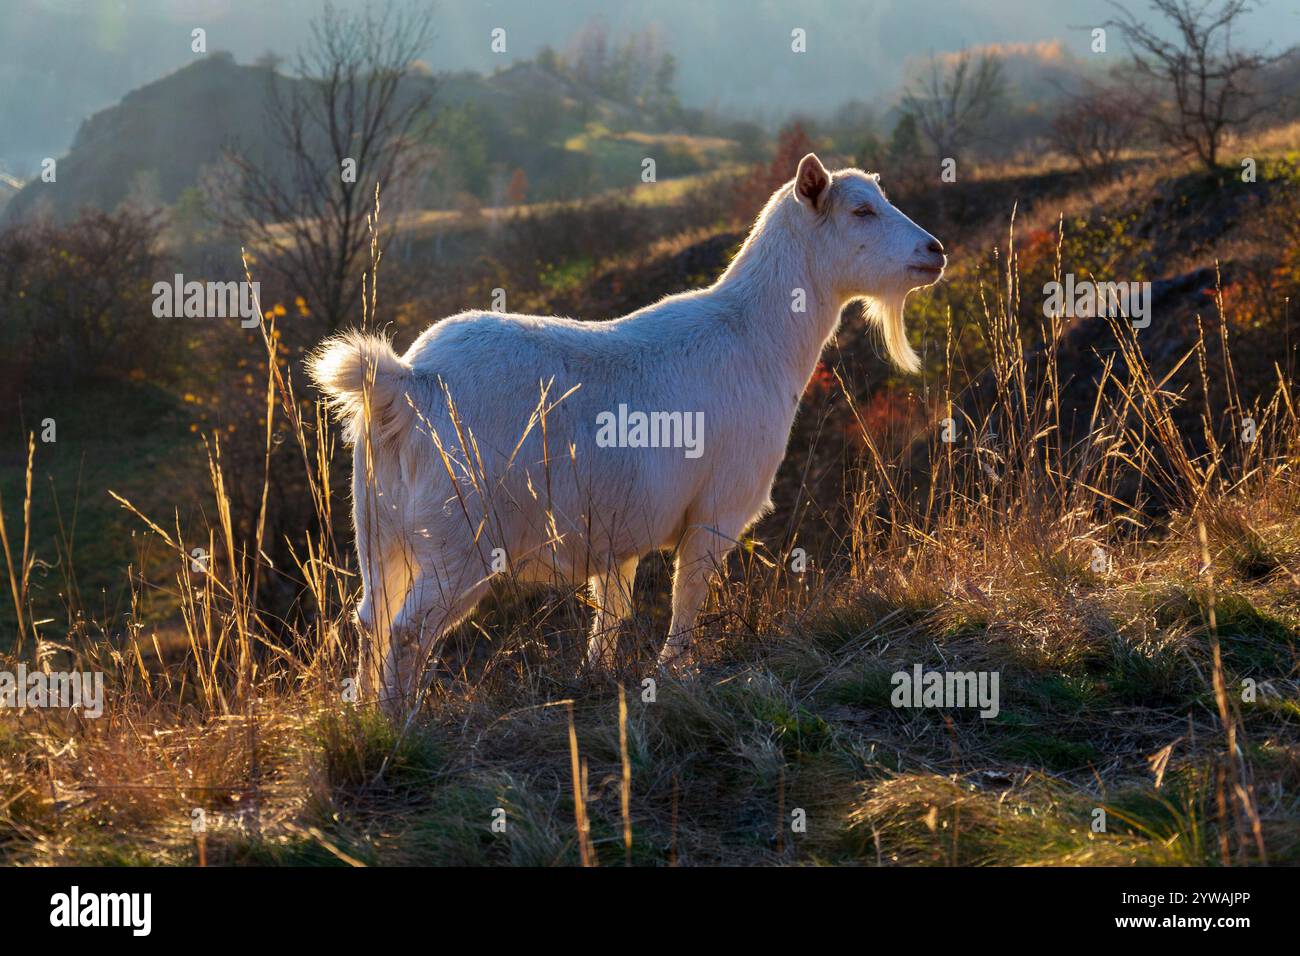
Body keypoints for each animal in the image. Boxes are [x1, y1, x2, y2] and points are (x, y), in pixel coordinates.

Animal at [312, 153, 946, 712]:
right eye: (861, 210)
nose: (934, 251)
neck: (755, 335)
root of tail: (410, 384)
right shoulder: (717, 508)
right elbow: (686, 598)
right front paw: (675, 673)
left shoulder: (619, 532)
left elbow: (611, 615)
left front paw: (598, 678)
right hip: (457, 537)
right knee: (408, 630)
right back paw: (398, 725)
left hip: (377, 526)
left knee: (371, 618)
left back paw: (365, 715)